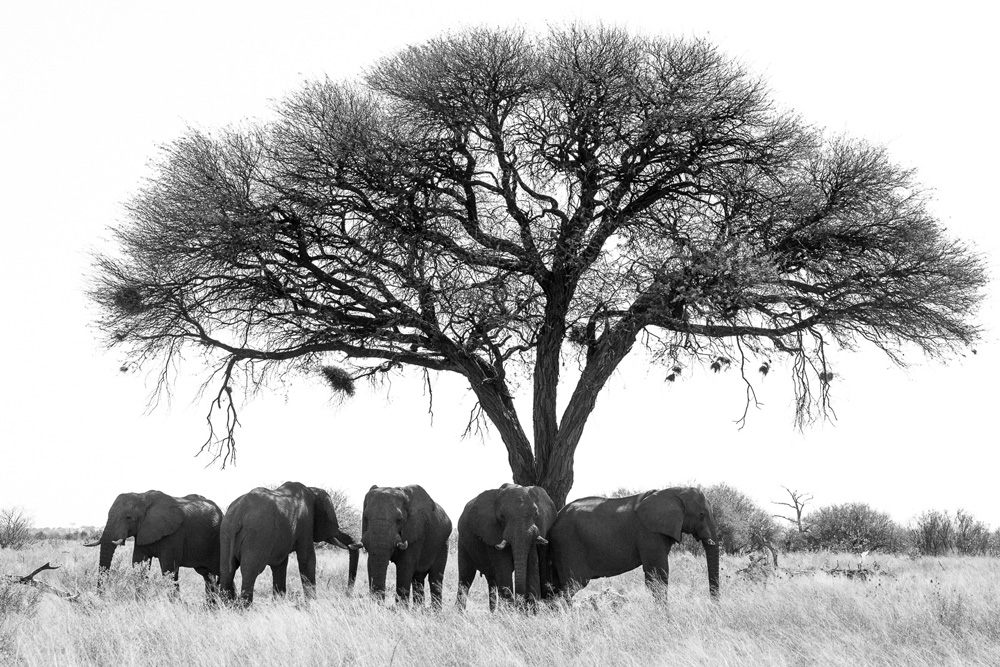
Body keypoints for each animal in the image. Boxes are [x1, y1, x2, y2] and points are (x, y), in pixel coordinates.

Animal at [85, 490, 224, 596]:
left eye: (128, 517)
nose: (100, 596)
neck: (142, 497)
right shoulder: (142, 532)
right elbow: (139, 564)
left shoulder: (174, 533)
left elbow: (169, 568)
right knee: (207, 575)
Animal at [221, 480, 362, 604]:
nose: (347, 595)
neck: (312, 490)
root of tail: (238, 515)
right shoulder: (305, 523)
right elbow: (308, 559)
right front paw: (312, 604)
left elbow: (280, 565)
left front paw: (278, 603)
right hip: (256, 535)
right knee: (250, 571)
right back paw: (245, 608)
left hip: (226, 534)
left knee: (227, 571)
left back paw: (225, 607)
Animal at [458, 482, 560, 612]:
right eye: (502, 516)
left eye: (536, 514)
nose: (520, 605)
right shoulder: (492, 532)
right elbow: (504, 567)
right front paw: (510, 612)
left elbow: (532, 565)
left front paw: (531, 612)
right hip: (462, 542)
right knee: (465, 577)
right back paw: (460, 613)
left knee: (491, 580)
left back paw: (493, 613)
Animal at [548, 488, 720, 604]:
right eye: (702, 514)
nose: (713, 609)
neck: (674, 492)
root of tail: (558, 515)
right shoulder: (649, 533)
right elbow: (658, 576)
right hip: (568, 543)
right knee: (571, 587)